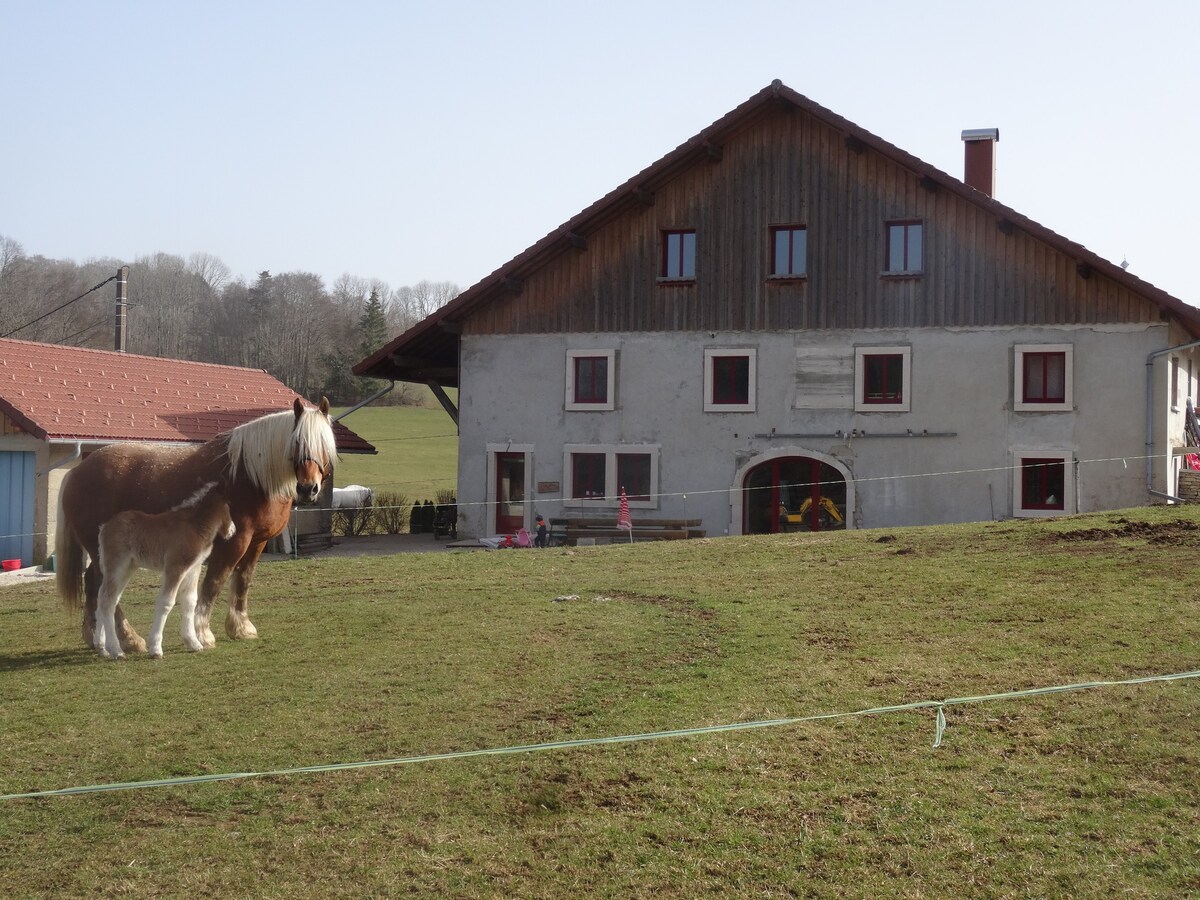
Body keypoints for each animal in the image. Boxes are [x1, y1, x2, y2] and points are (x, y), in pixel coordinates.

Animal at [93, 482, 236, 657]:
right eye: (229, 506)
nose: (233, 530)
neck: (195, 526)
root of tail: (104, 527)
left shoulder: (193, 568)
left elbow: (190, 601)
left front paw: (193, 643)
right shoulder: (175, 567)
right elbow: (166, 602)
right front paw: (155, 648)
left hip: (126, 569)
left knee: (106, 599)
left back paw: (101, 648)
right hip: (117, 567)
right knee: (107, 601)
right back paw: (116, 651)